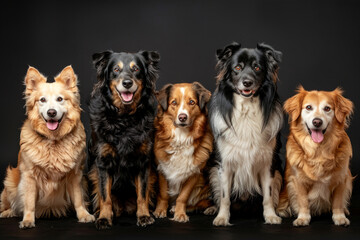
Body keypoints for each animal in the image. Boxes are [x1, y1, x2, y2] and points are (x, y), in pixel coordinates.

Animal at [88, 50, 160, 229]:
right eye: (115, 69)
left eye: (136, 69)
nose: (127, 83)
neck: (124, 118)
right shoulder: (103, 162)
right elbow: (105, 196)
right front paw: (104, 218)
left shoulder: (143, 161)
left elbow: (142, 194)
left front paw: (143, 216)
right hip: (92, 173)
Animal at [208, 42, 284, 225]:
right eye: (237, 67)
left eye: (257, 67)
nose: (247, 82)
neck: (247, 109)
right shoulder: (225, 163)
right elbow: (224, 196)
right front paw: (222, 217)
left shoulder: (268, 163)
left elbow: (268, 195)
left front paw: (270, 216)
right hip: (212, 171)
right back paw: (212, 209)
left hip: (279, 172)